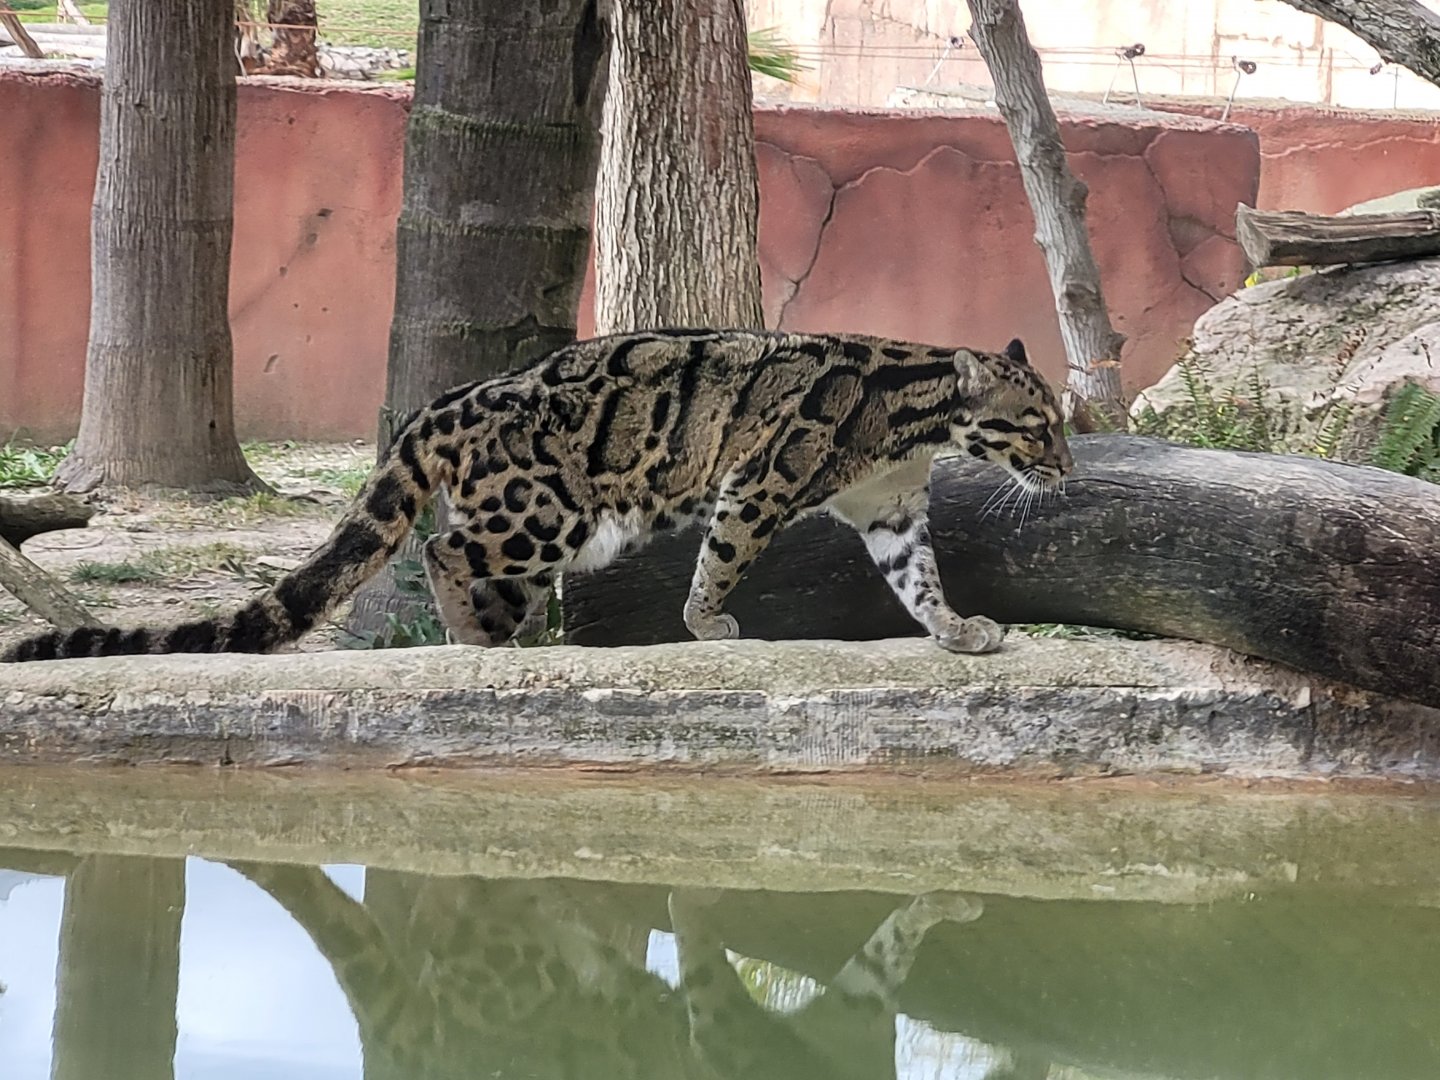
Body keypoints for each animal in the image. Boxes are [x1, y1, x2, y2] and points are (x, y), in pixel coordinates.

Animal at [1, 328, 1071, 663]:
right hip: (548, 517)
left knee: (450, 552)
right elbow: (722, 558)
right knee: (443, 549)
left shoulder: (892, 511)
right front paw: (706, 623)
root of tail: (441, 403)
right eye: (1038, 425)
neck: (916, 415)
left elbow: (918, 579)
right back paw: (475, 638)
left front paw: (958, 630)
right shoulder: (761, 479)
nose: (1064, 470)